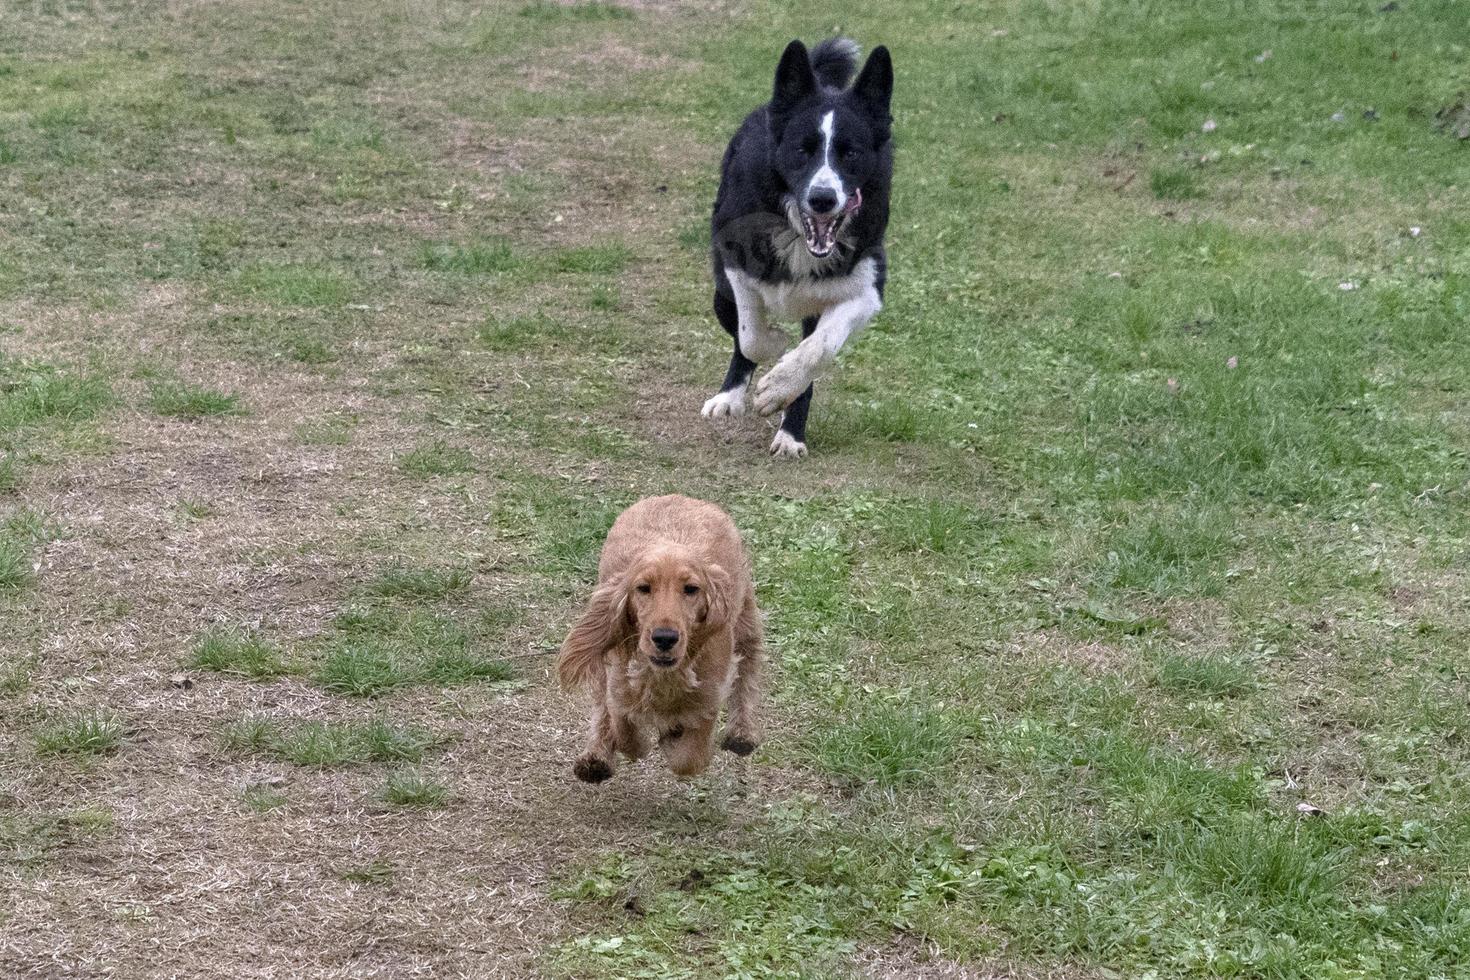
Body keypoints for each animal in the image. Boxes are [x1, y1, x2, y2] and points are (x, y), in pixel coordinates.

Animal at [555, 493, 764, 787]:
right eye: (643, 588)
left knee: (748, 670)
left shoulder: (710, 694)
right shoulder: (618, 682)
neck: (664, 674)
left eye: (691, 589)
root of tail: (682, 497)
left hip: (746, 621)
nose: (665, 638)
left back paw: (741, 733)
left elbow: (689, 758)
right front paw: (636, 741)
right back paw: (595, 758)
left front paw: (671, 738)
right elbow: (624, 729)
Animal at [696, 38, 887, 461]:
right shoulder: (735, 265)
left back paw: (789, 434)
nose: (823, 199)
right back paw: (729, 397)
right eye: (803, 151)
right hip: (720, 293)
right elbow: (750, 336)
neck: (798, 233)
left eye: (851, 153)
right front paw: (774, 344)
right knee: (738, 336)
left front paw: (779, 387)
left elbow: (819, 348)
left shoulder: (867, 285)